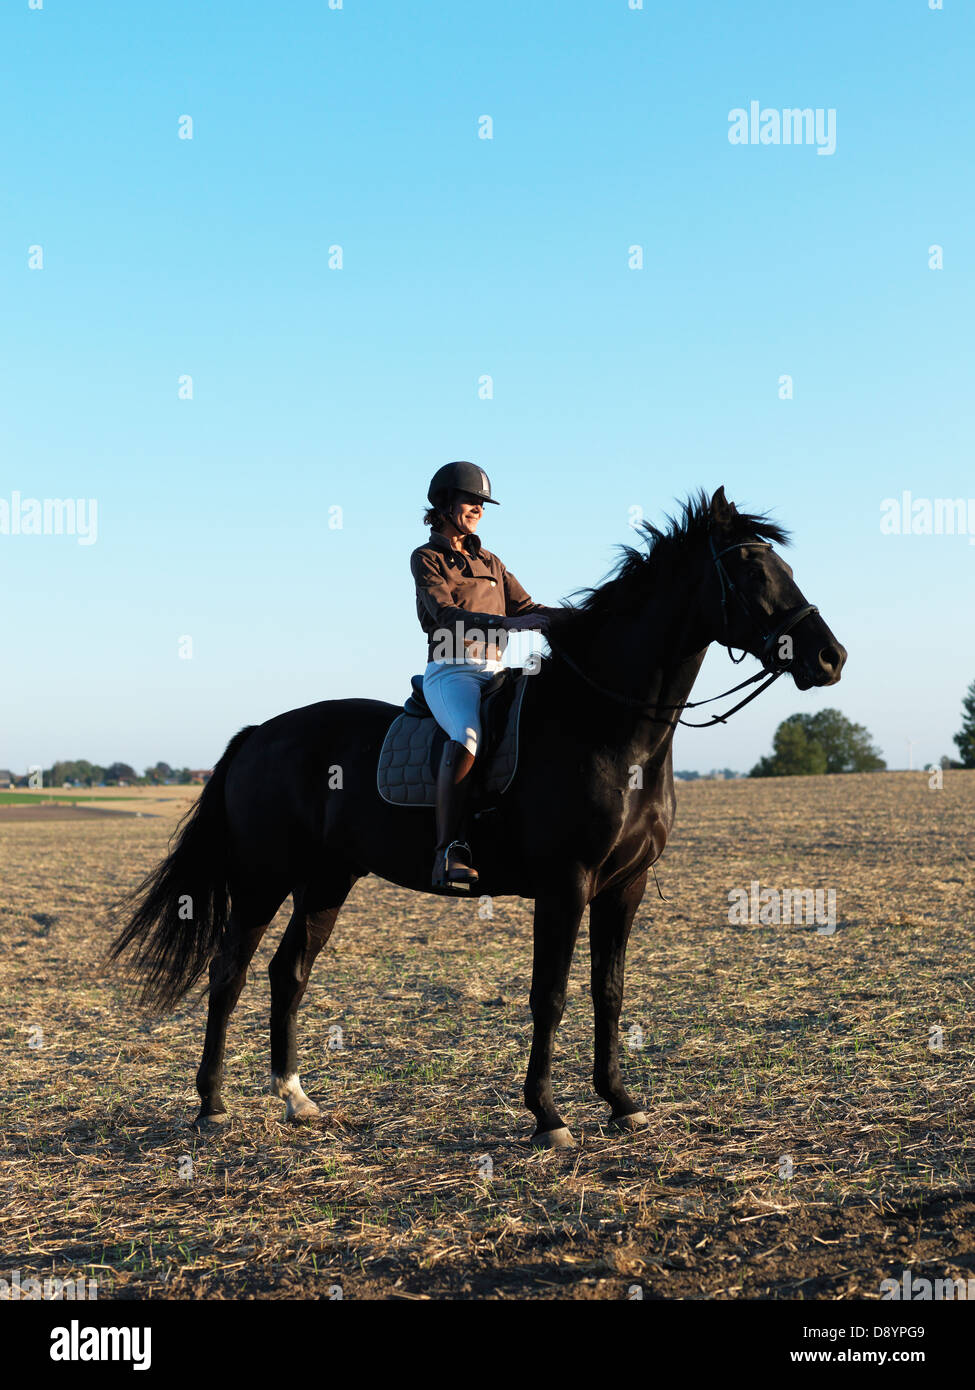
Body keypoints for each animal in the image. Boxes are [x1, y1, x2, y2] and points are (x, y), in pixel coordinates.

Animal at [111, 494, 845, 1145]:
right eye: (749, 566)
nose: (829, 658)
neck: (607, 726)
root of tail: (259, 733)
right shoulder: (565, 885)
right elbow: (549, 996)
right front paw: (547, 1118)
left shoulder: (623, 887)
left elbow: (608, 991)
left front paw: (620, 1103)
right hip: (263, 880)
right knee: (228, 972)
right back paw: (211, 1108)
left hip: (326, 881)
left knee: (287, 973)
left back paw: (297, 1100)